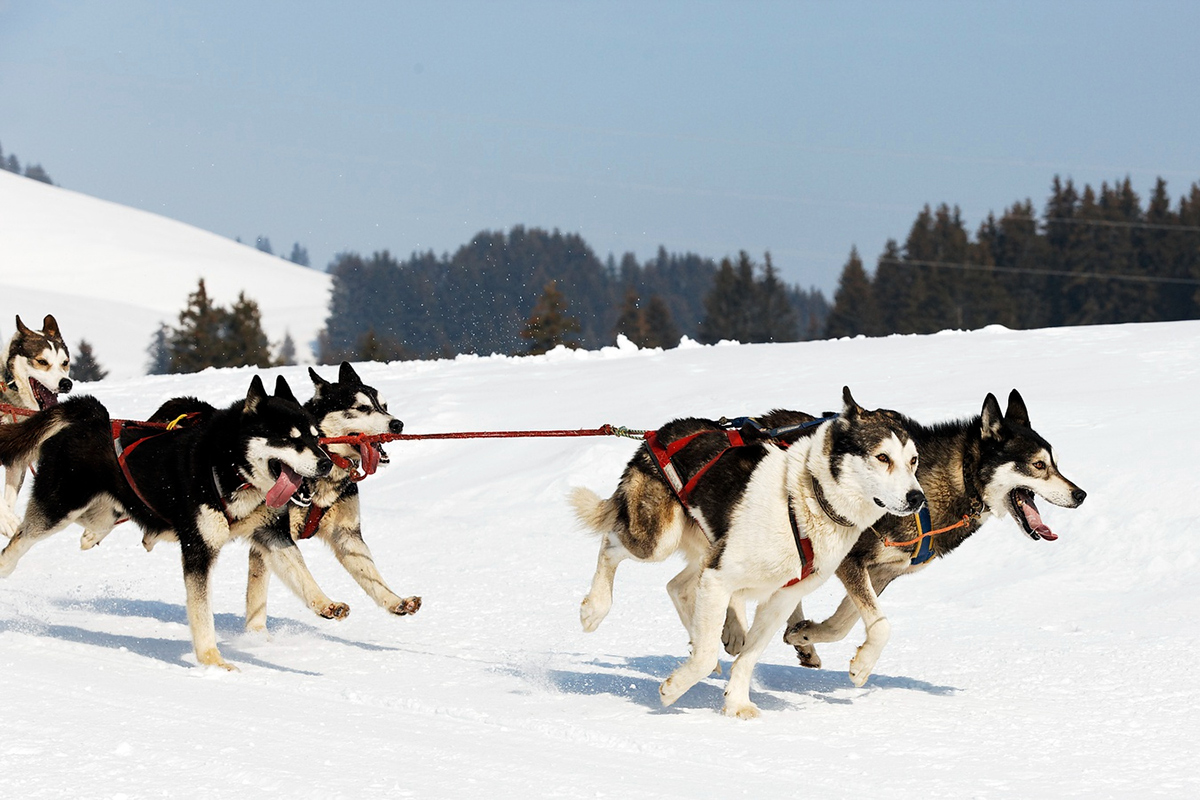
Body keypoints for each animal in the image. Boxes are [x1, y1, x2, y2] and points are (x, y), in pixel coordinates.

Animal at [0, 376, 333, 671]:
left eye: (316, 437)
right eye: (289, 438)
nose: (326, 463)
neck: (226, 467)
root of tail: (92, 418)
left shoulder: (271, 534)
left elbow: (300, 570)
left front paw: (325, 603)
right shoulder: (199, 550)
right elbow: (202, 611)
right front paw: (212, 660)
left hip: (105, 506)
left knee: (96, 522)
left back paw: (92, 537)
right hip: (60, 507)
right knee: (21, 537)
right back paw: (6, 564)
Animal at [243, 362, 422, 633]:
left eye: (385, 405)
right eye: (361, 408)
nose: (397, 425)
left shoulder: (347, 534)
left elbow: (371, 574)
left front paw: (395, 601)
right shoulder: (271, 535)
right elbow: (271, 588)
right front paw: (257, 636)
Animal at [576, 388, 921, 719]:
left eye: (914, 460)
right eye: (882, 457)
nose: (916, 497)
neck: (806, 500)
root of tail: (660, 433)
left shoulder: (780, 598)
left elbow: (749, 657)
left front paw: (737, 704)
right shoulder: (718, 578)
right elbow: (705, 658)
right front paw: (673, 690)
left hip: (707, 550)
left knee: (676, 586)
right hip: (659, 540)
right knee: (610, 544)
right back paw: (595, 608)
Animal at [782, 391, 1094, 681]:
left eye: (1055, 464)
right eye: (1038, 465)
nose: (1080, 495)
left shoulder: (883, 572)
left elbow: (843, 624)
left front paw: (803, 635)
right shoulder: (851, 561)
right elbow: (881, 625)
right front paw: (862, 667)